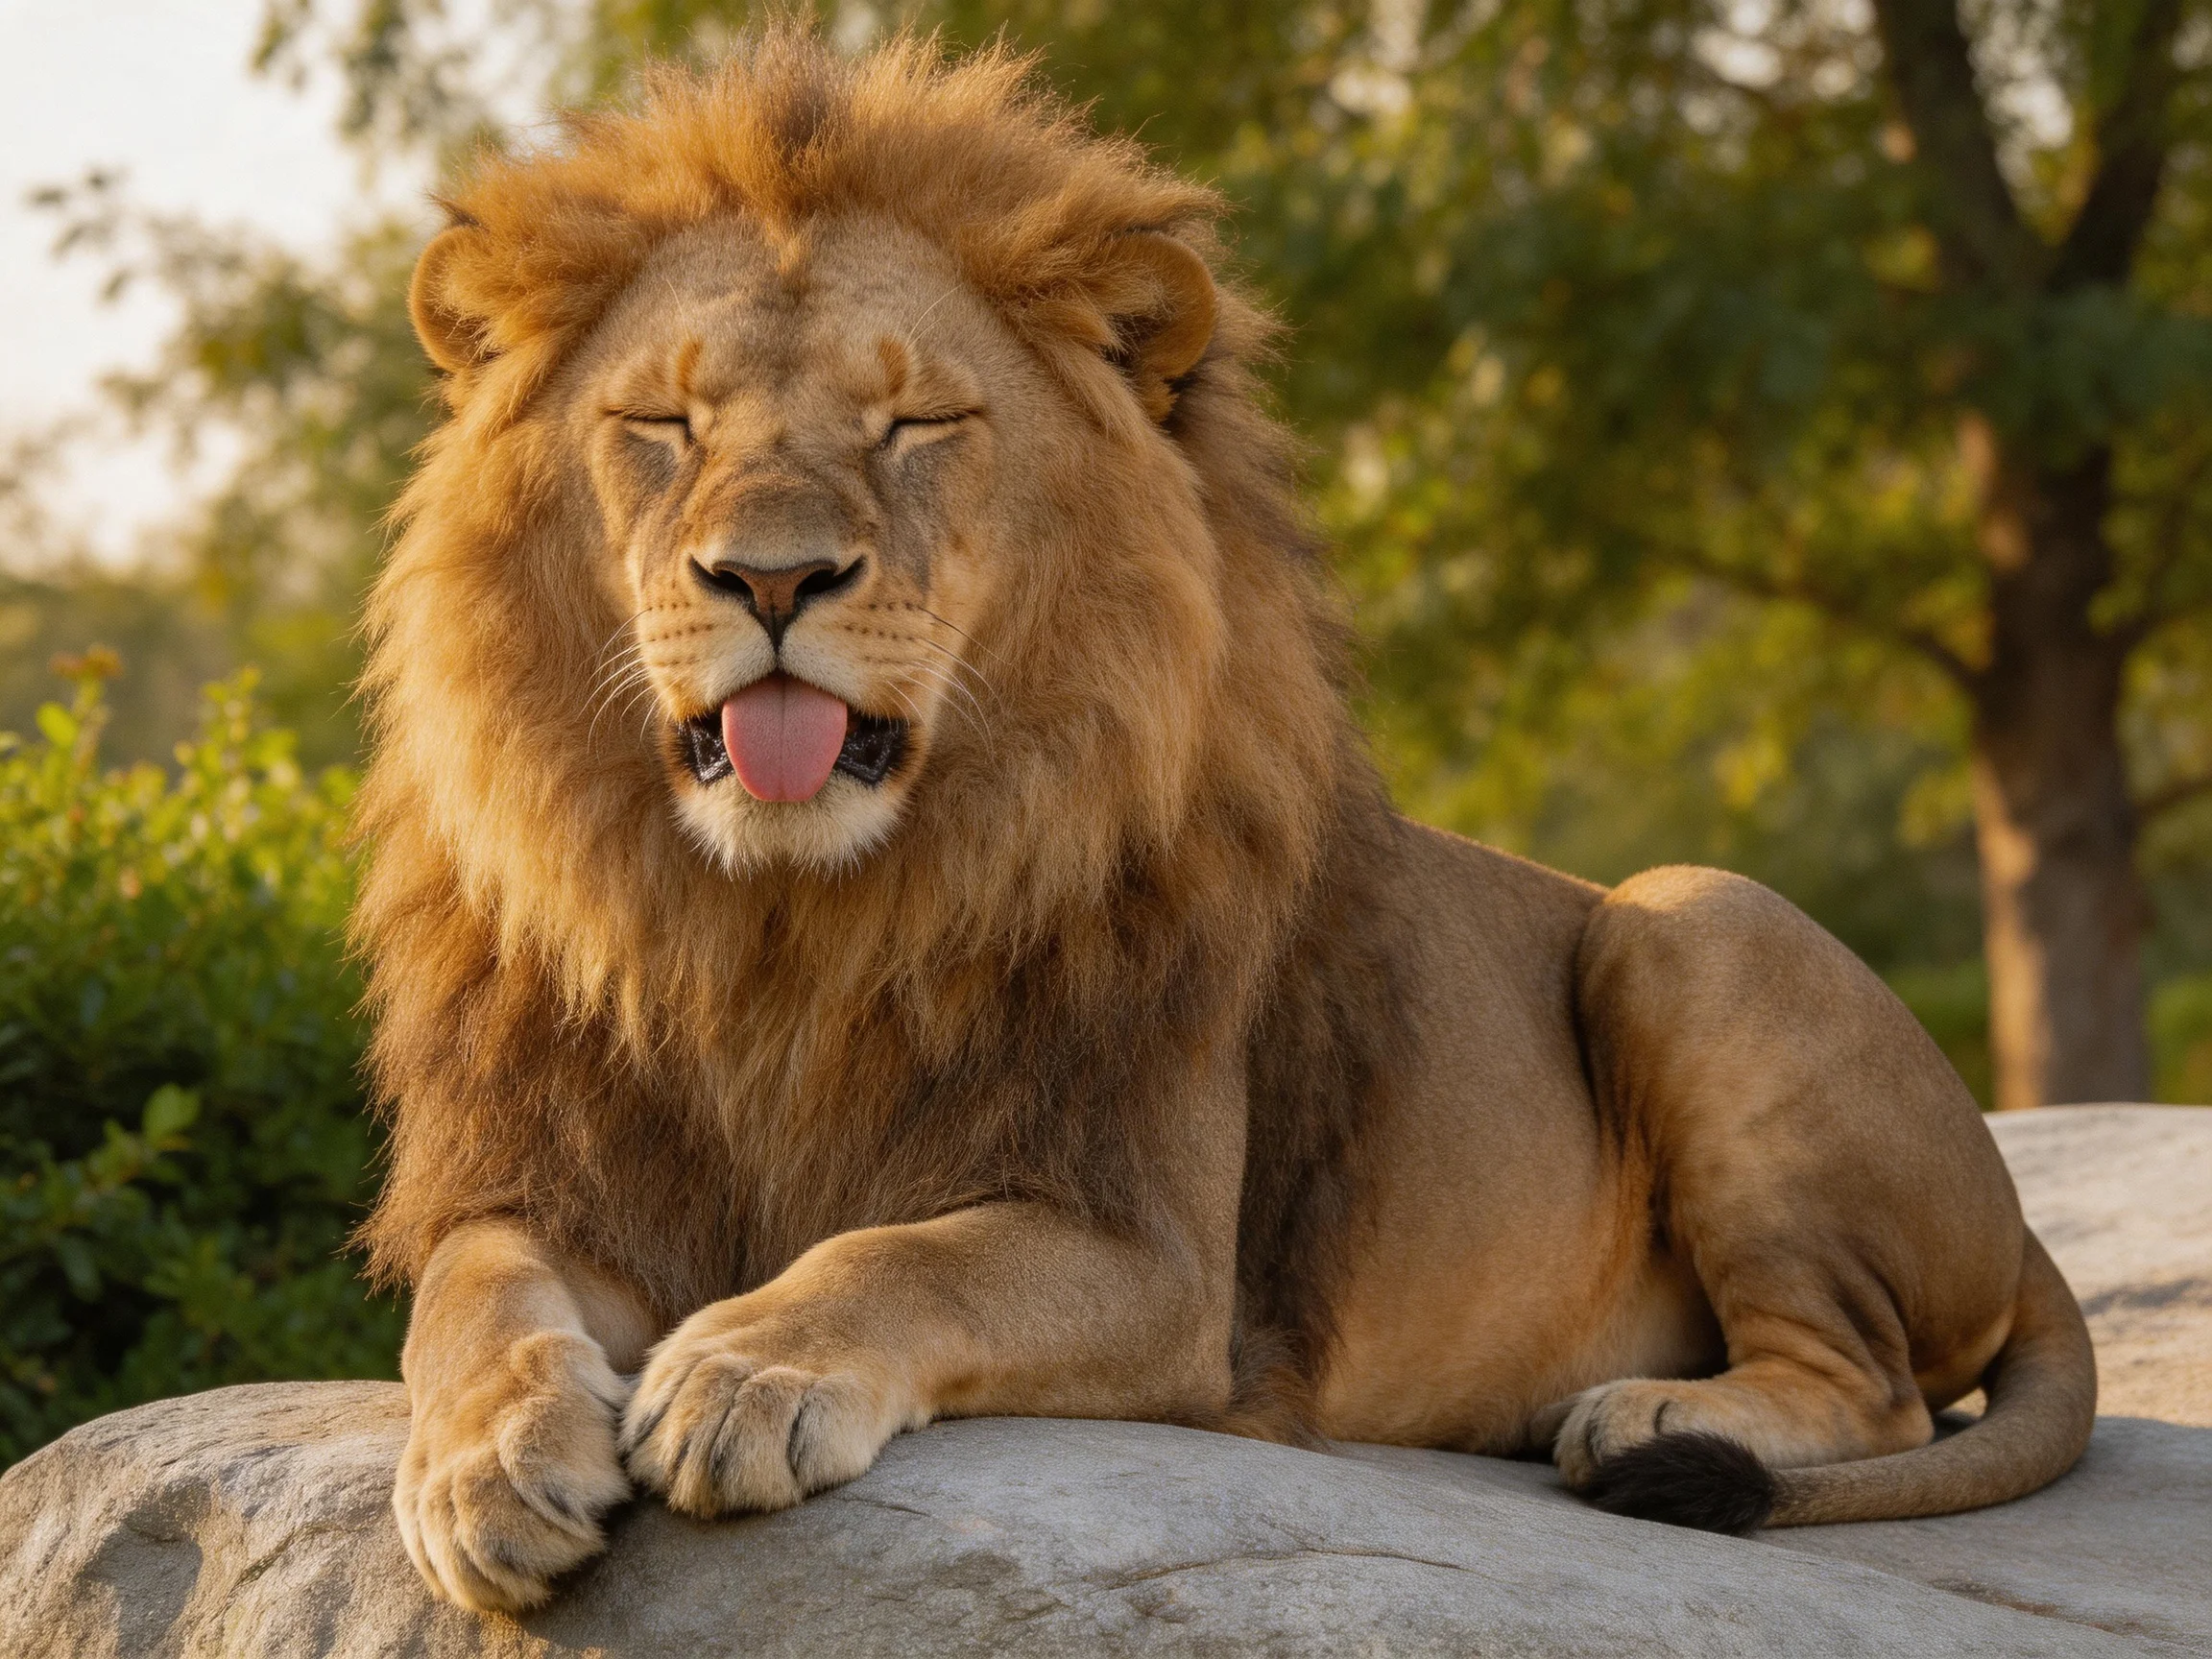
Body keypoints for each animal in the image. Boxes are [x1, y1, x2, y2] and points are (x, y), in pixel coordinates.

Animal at [356, 27, 2096, 1615]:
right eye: (662, 425)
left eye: (915, 427)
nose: (771, 578)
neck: (781, 927)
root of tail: (2017, 1224)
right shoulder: (560, 1184)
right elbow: (467, 1298)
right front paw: (487, 1460)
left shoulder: (1154, 1256)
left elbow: (902, 1253)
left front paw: (744, 1371)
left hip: (1689, 916)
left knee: (1873, 1385)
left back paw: (1644, 1415)